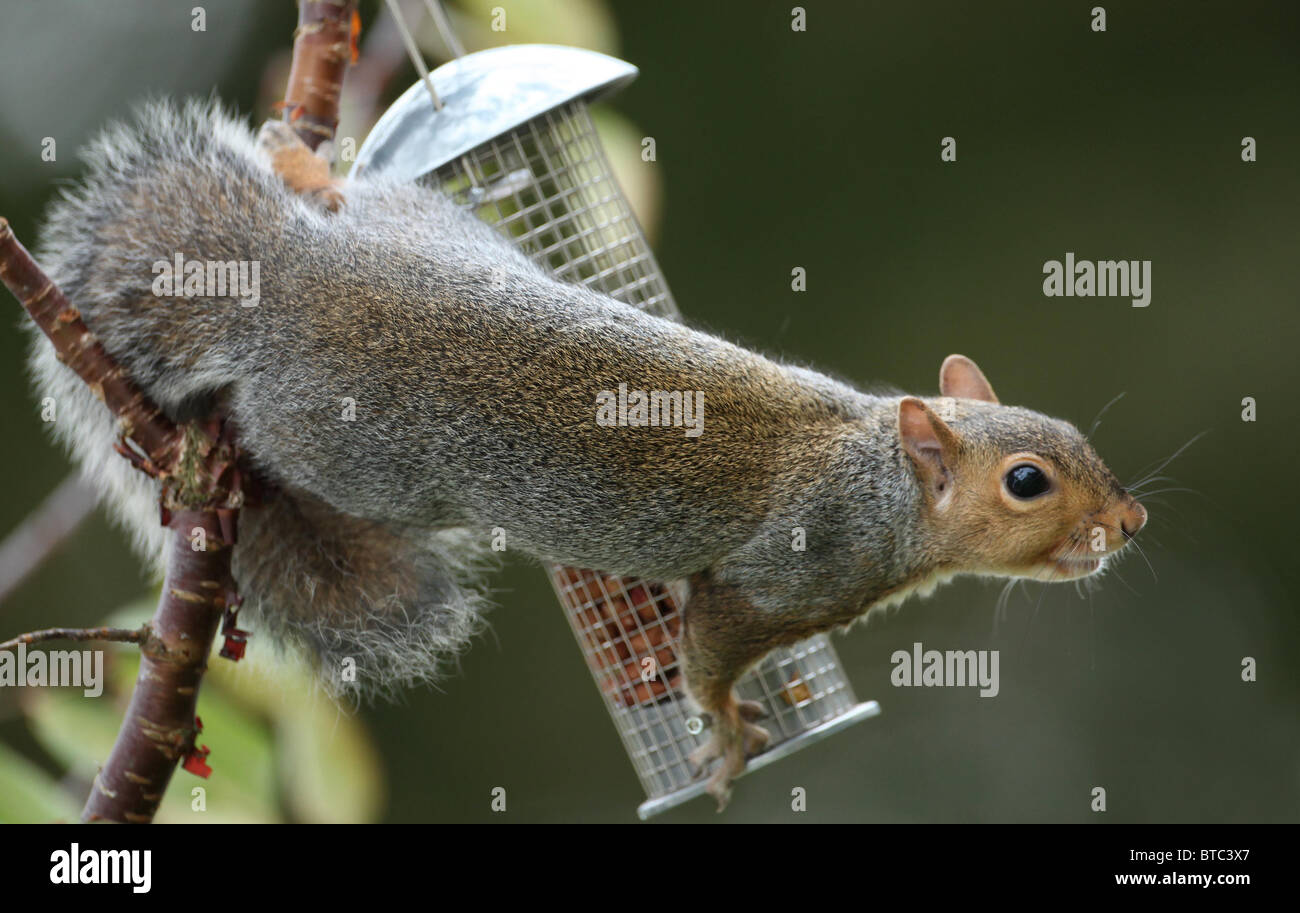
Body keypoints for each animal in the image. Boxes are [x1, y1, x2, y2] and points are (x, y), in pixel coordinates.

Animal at [30, 102, 1149, 806]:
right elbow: (710, 655)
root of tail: (295, 282)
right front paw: (727, 738)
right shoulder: (777, 581)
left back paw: (305, 166)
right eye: (1027, 482)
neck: (876, 481)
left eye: (1075, 437)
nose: (1129, 520)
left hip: (437, 230)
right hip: (347, 452)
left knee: (365, 198)